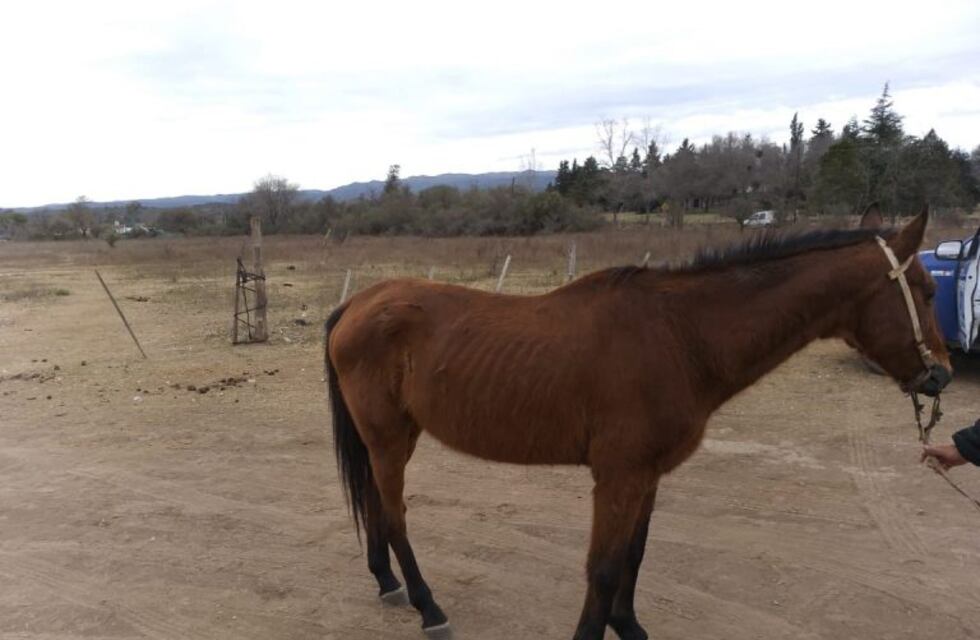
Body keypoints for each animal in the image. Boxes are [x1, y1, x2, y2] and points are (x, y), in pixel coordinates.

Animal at [324, 205, 950, 640]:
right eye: (925, 290)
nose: (940, 376)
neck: (680, 335)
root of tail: (357, 304)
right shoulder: (619, 476)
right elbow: (602, 568)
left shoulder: (649, 474)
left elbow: (634, 555)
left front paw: (628, 626)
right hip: (388, 437)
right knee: (397, 515)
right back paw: (428, 605)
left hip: (396, 437)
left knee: (377, 504)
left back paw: (387, 583)